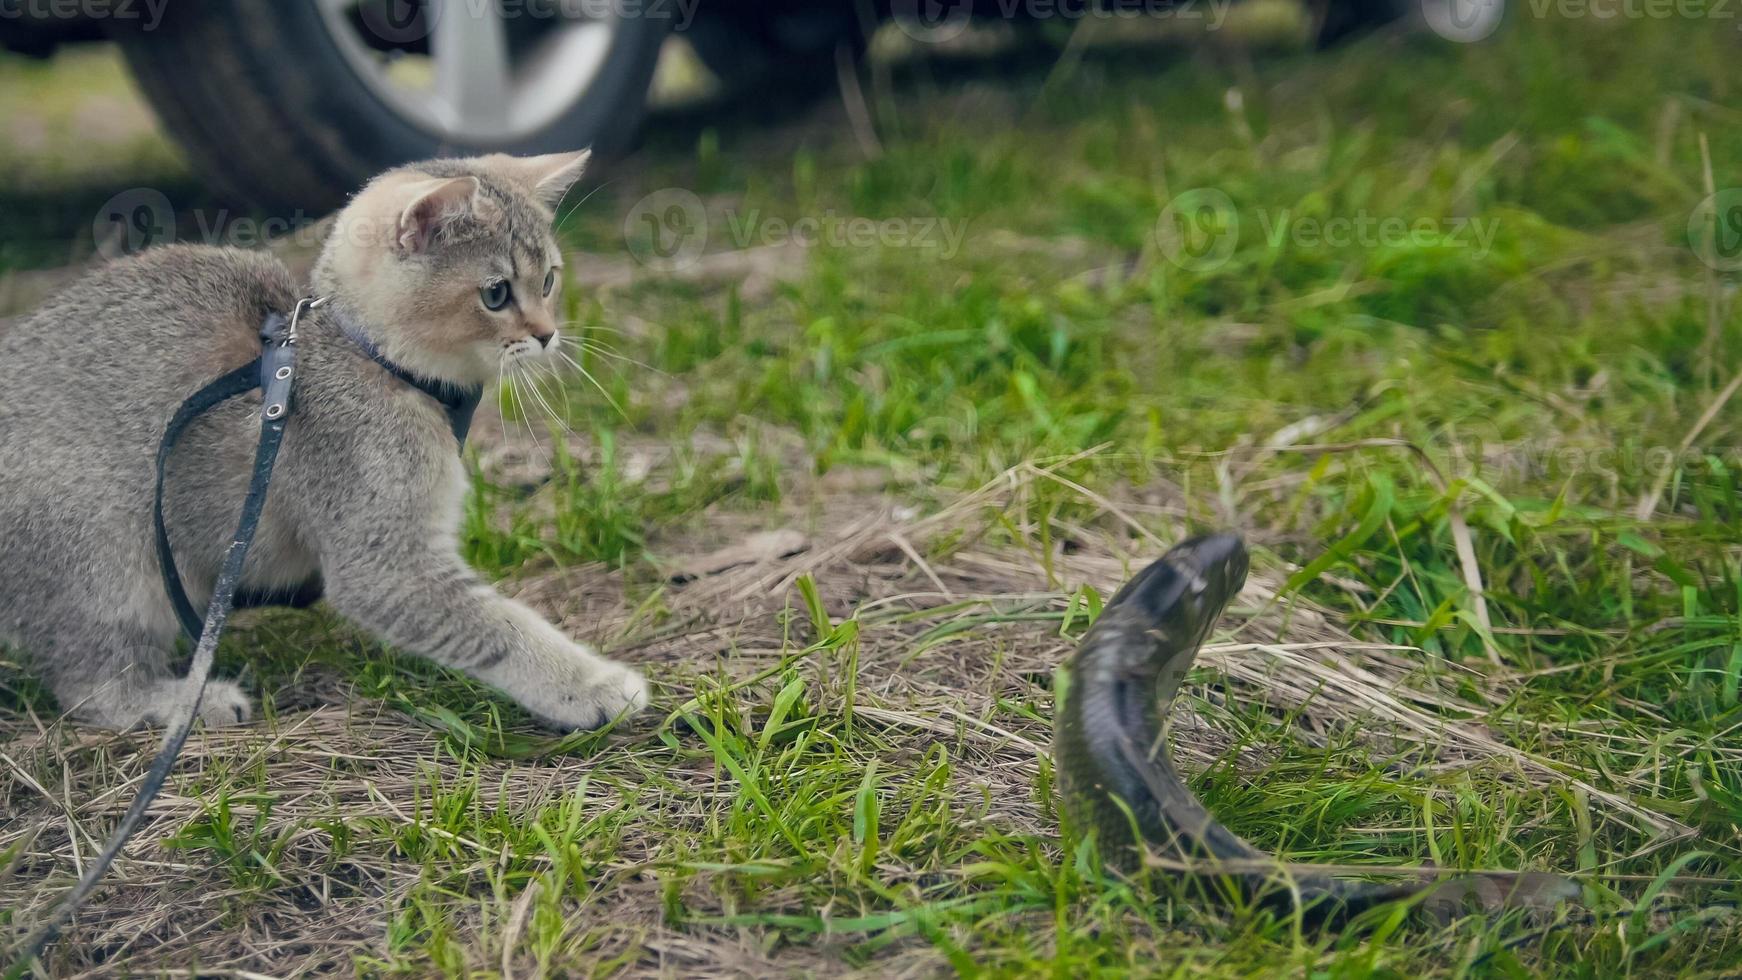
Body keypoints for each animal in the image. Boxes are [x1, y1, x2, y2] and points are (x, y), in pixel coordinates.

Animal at [0, 151, 648, 727]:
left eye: (549, 280)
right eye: (496, 293)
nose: (547, 334)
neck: (366, 356)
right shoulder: (385, 562)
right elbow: (501, 628)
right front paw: (592, 686)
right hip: (107, 554)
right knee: (91, 686)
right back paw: (182, 701)